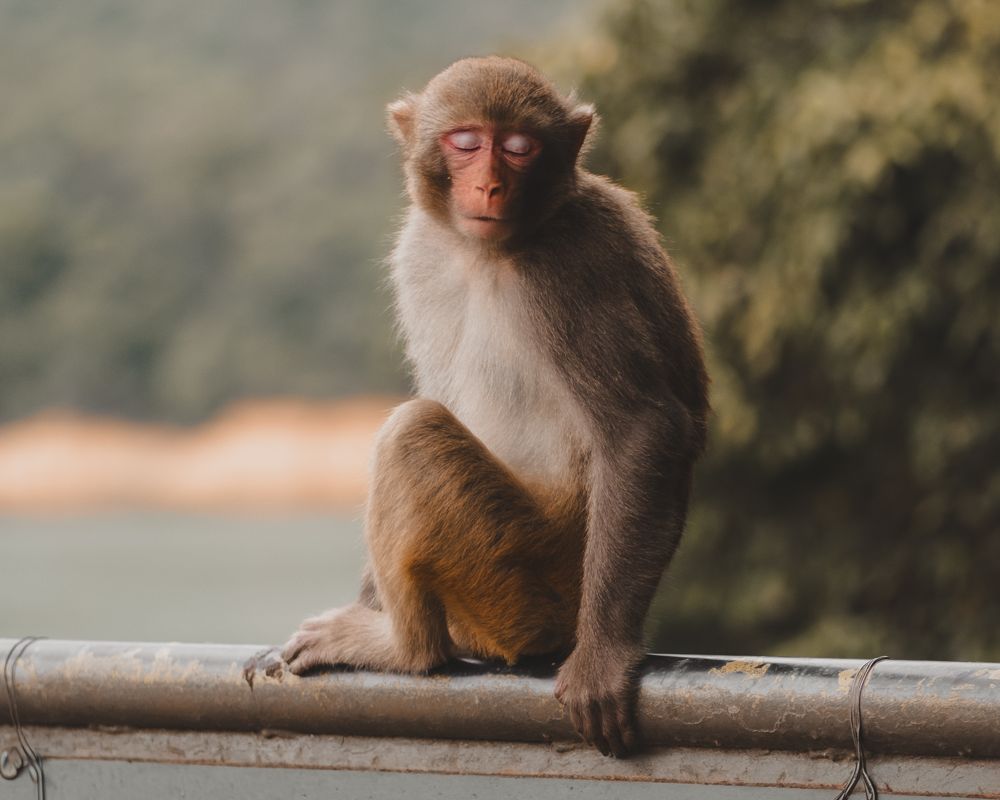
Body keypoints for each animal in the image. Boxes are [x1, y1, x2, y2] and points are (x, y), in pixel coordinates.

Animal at [282, 56, 709, 758]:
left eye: (518, 147)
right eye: (465, 142)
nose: (488, 185)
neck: (482, 250)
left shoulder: (567, 271)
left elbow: (641, 428)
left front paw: (604, 659)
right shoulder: (419, 252)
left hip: (521, 572)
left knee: (413, 433)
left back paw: (408, 649)